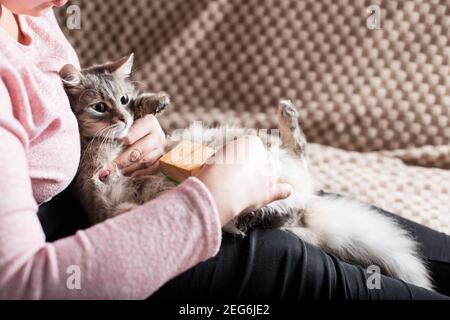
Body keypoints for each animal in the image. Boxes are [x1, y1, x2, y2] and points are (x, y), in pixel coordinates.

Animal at [59, 54, 432, 290]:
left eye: (122, 99)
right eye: (99, 106)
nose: (121, 117)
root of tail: (307, 202)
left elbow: (141, 116)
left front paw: (153, 102)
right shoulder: (103, 183)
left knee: (298, 156)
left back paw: (287, 116)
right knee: (276, 208)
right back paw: (263, 210)